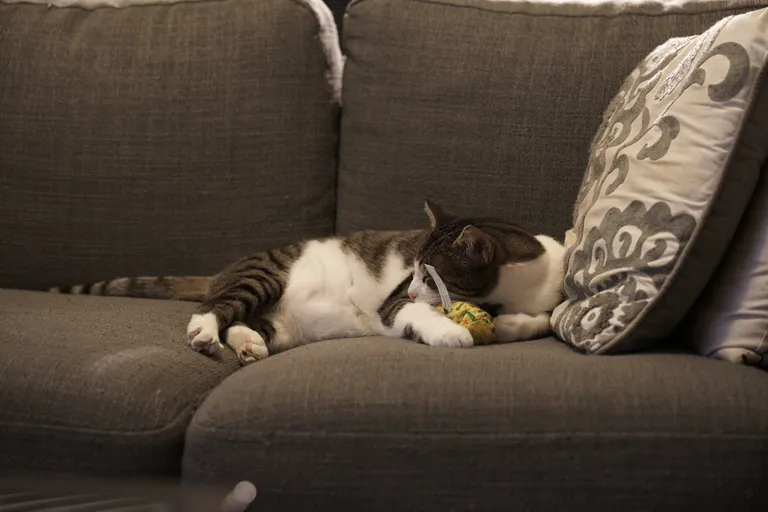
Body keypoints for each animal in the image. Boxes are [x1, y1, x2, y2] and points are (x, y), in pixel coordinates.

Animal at [48, 201, 564, 364]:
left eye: (431, 275)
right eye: (414, 273)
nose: (415, 288)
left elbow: (543, 318)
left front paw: (513, 323)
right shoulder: (393, 301)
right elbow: (410, 312)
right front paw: (452, 333)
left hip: (287, 325)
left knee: (249, 324)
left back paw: (248, 344)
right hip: (263, 275)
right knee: (218, 306)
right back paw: (204, 332)